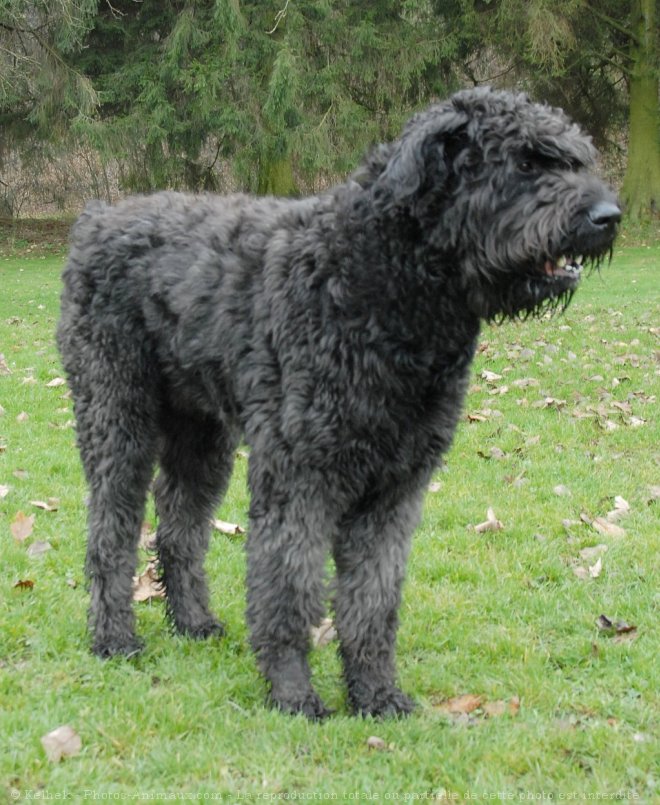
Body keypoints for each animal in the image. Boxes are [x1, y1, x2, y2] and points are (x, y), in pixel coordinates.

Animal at [55, 86, 620, 716]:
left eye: (571, 159)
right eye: (523, 163)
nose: (607, 217)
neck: (382, 285)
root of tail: (96, 218)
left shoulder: (395, 488)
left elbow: (372, 599)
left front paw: (375, 692)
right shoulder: (300, 476)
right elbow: (289, 589)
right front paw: (293, 694)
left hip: (200, 436)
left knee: (179, 528)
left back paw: (194, 622)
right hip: (117, 418)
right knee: (111, 532)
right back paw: (113, 638)